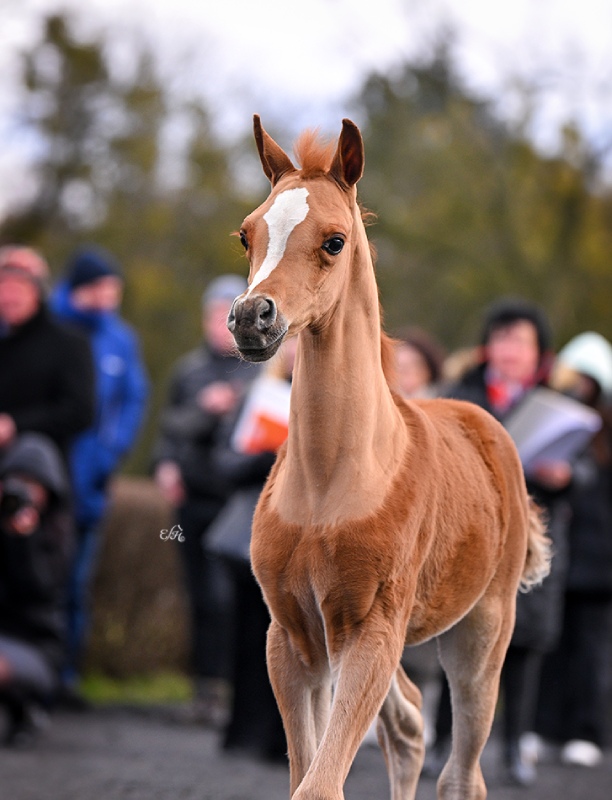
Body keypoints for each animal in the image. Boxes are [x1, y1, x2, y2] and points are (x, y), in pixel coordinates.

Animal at [226, 115, 548, 796]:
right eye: (247, 234)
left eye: (334, 241)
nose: (251, 318)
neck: (330, 480)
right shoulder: (294, 636)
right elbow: (311, 774)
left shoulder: (371, 629)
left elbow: (319, 784)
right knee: (410, 726)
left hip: (482, 634)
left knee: (461, 773)